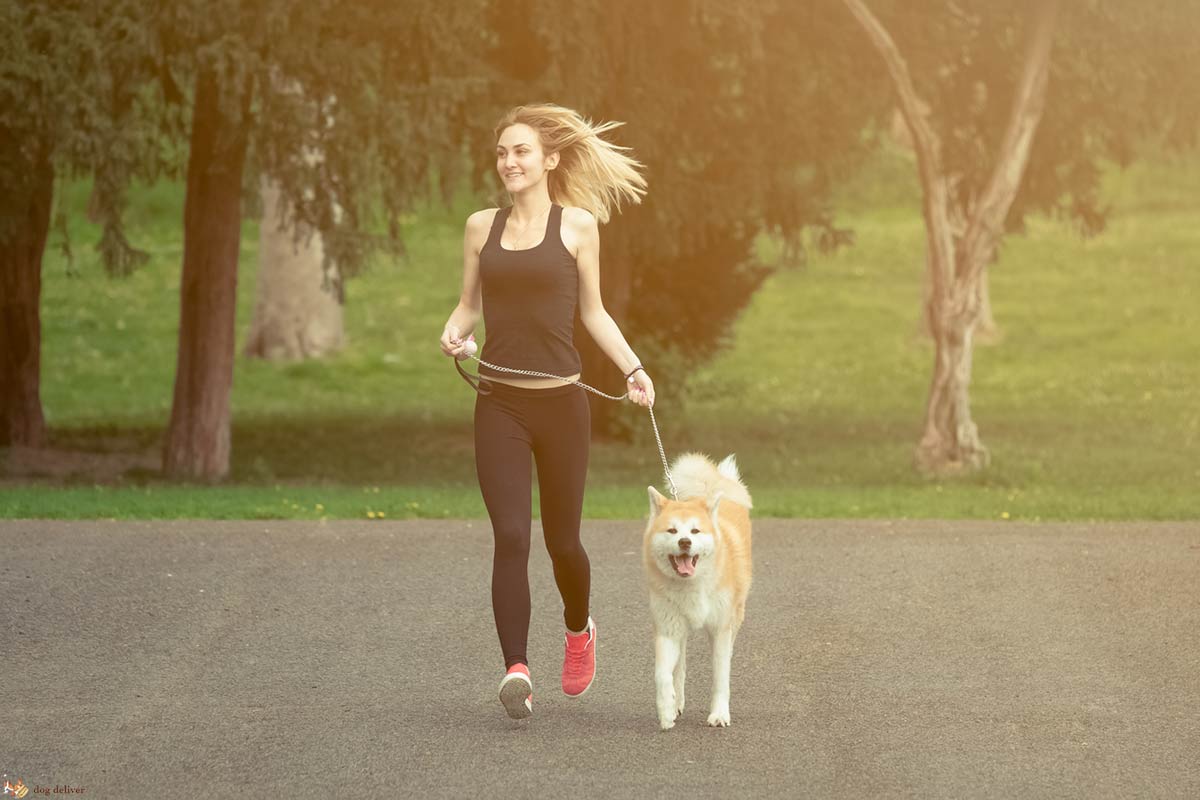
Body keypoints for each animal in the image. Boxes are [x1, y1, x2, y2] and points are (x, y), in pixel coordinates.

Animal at [648, 453, 748, 729]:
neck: (691, 586)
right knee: (679, 666)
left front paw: (719, 714)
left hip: (735, 616)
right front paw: (666, 710)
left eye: (695, 531)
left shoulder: (721, 629)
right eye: (672, 530)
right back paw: (677, 702)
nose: (684, 542)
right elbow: (662, 674)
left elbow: (720, 677)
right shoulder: (667, 629)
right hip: (679, 628)